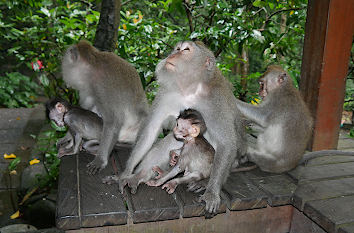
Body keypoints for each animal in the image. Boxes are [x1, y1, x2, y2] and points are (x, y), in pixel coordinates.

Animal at [61, 40, 149, 175]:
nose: (64, 75)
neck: (93, 67)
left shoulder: (102, 86)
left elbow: (113, 121)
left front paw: (100, 161)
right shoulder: (88, 87)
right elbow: (83, 110)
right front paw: (69, 138)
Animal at [110, 40, 246, 213]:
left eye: (186, 50)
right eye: (177, 48)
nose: (173, 54)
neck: (190, 88)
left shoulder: (216, 100)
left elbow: (227, 143)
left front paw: (211, 193)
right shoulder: (167, 93)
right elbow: (150, 130)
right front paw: (126, 173)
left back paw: (202, 182)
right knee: (174, 141)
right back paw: (140, 176)